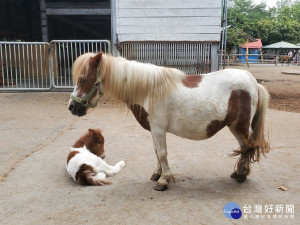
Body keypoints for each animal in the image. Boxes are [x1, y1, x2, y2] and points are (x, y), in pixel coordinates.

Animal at [69, 51, 270, 191]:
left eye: (83, 79)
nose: (72, 107)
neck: (148, 91)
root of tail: (254, 82)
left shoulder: (159, 129)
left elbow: (163, 153)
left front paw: (163, 181)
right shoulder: (154, 130)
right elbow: (156, 152)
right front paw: (157, 174)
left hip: (241, 126)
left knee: (249, 147)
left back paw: (242, 175)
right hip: (234, 126)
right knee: (245, 147)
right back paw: (239, 173)